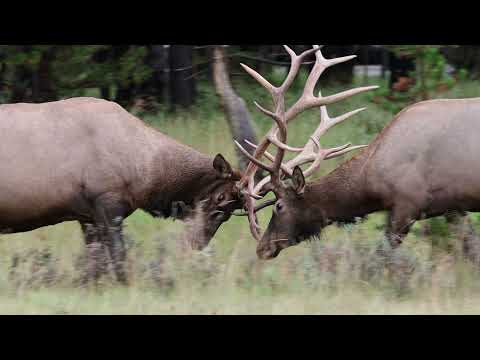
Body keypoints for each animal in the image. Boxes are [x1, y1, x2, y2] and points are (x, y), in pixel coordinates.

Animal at [0, 97, 244, 282]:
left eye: (229, 214)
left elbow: (95, 264)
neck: (144, 173)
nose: (195, 244)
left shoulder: (87, 215)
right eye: (220, 197)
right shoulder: (106, 200)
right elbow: (119, 257)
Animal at [236, 45, 480, 262]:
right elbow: (471, 250)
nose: (262, 247)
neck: (372, 180)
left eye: (279, 206)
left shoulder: (408, 204)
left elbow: (382, 256)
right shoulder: (452, 207)